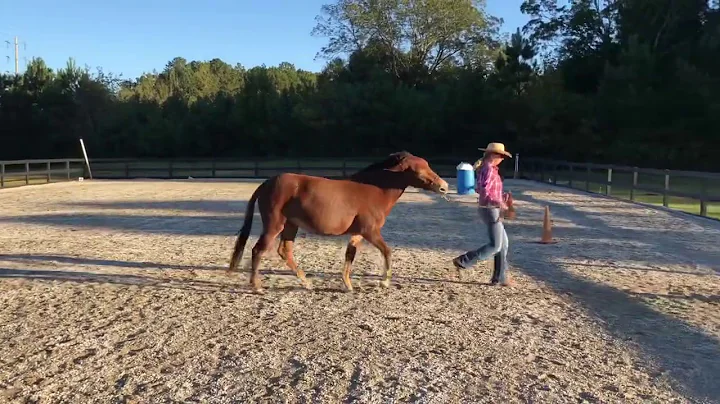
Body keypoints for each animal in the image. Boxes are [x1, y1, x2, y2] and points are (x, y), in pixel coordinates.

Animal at [228, 152, 448, 294]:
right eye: (420, 171)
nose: (444, 187)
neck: (374, 190)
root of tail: (266, 183)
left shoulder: (358, 234)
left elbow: (350, 255)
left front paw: (348, 285)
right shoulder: (370, 232)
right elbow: (387, 251)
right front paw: (384, 283)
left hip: (291, 225)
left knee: (284, 251)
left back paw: (306, 283)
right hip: (275, 225)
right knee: (258, 250)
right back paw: (257, 287)